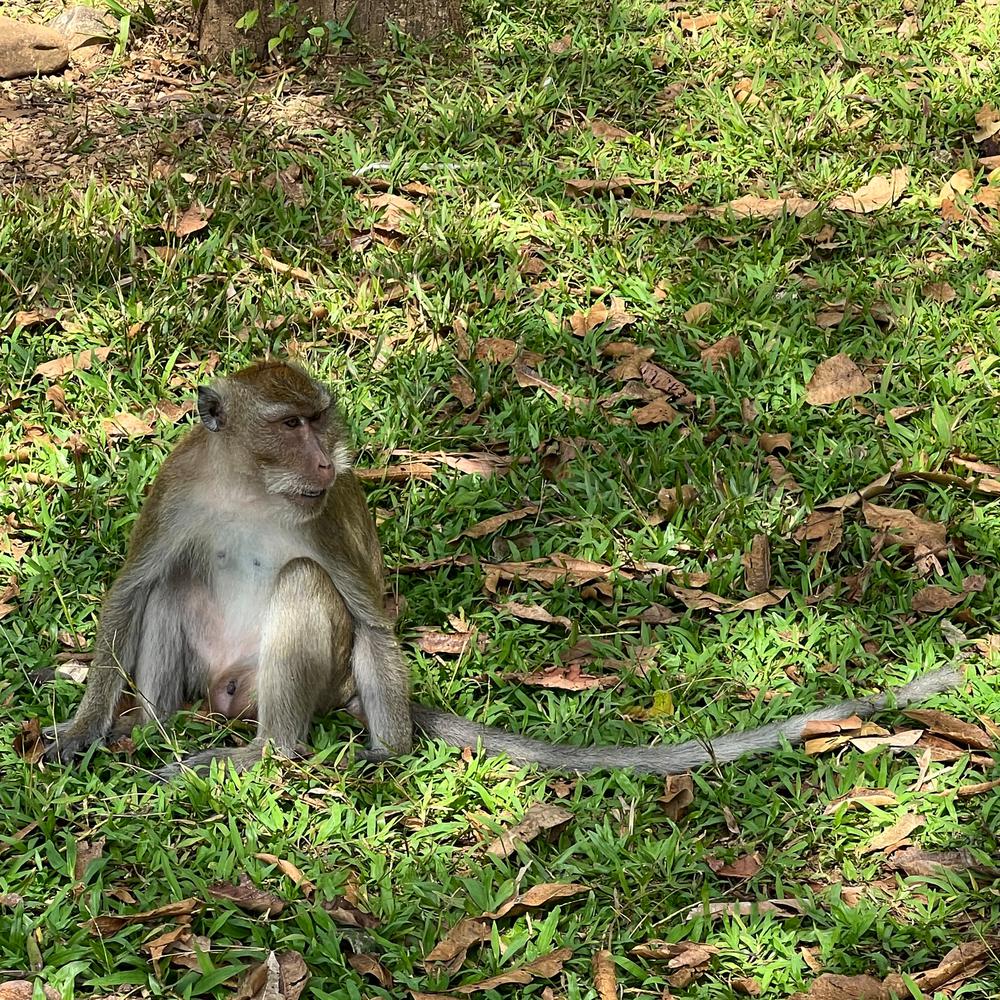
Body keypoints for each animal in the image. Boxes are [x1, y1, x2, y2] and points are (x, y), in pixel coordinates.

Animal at [42, 360, 964, 779]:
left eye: (317, 419)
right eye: (289, 423)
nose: (330, 455)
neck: (248, 485)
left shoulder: (323, 509)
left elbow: (367, 614)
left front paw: (389, 751)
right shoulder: (177, 487)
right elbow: (130, 591)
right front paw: (81, 730)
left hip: (304, 680)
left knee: (307, 593)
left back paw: (267, 751)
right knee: (173, 586)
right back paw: (152, 726)